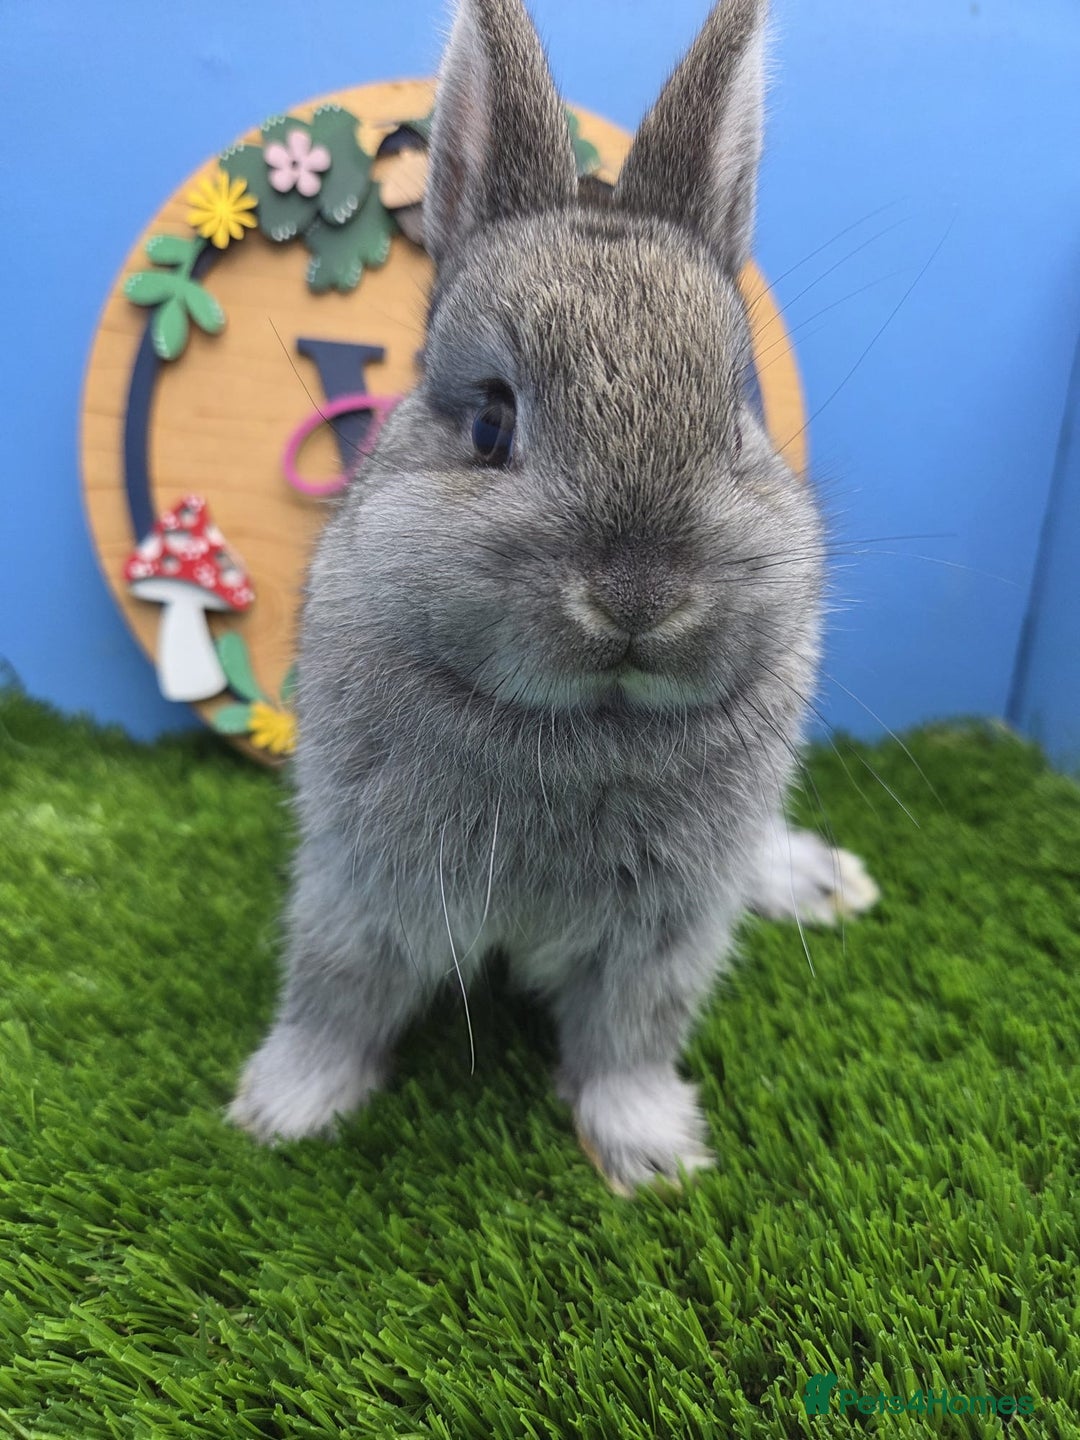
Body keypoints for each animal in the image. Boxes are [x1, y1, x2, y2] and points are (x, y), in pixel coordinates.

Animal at [228, 0, 879, 1193]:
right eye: (491, 421)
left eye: (733, 421)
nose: (637, 597)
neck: (581, 719)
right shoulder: (359, 888)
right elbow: (338, 995)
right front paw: (284, 1109)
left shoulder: (665, 930)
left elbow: (630, 1035)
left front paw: (649, 1151)